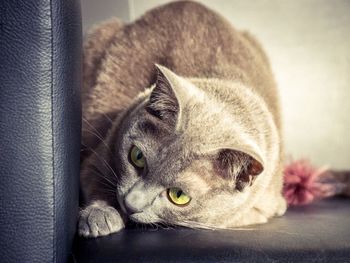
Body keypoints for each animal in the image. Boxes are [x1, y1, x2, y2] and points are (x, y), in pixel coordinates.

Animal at [79, 0, 288, 239]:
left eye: (178, 195)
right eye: (137, 157)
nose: (131, 204)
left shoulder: (254, 211)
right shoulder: (99, 153)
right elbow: (95, 180)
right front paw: (99, 216)